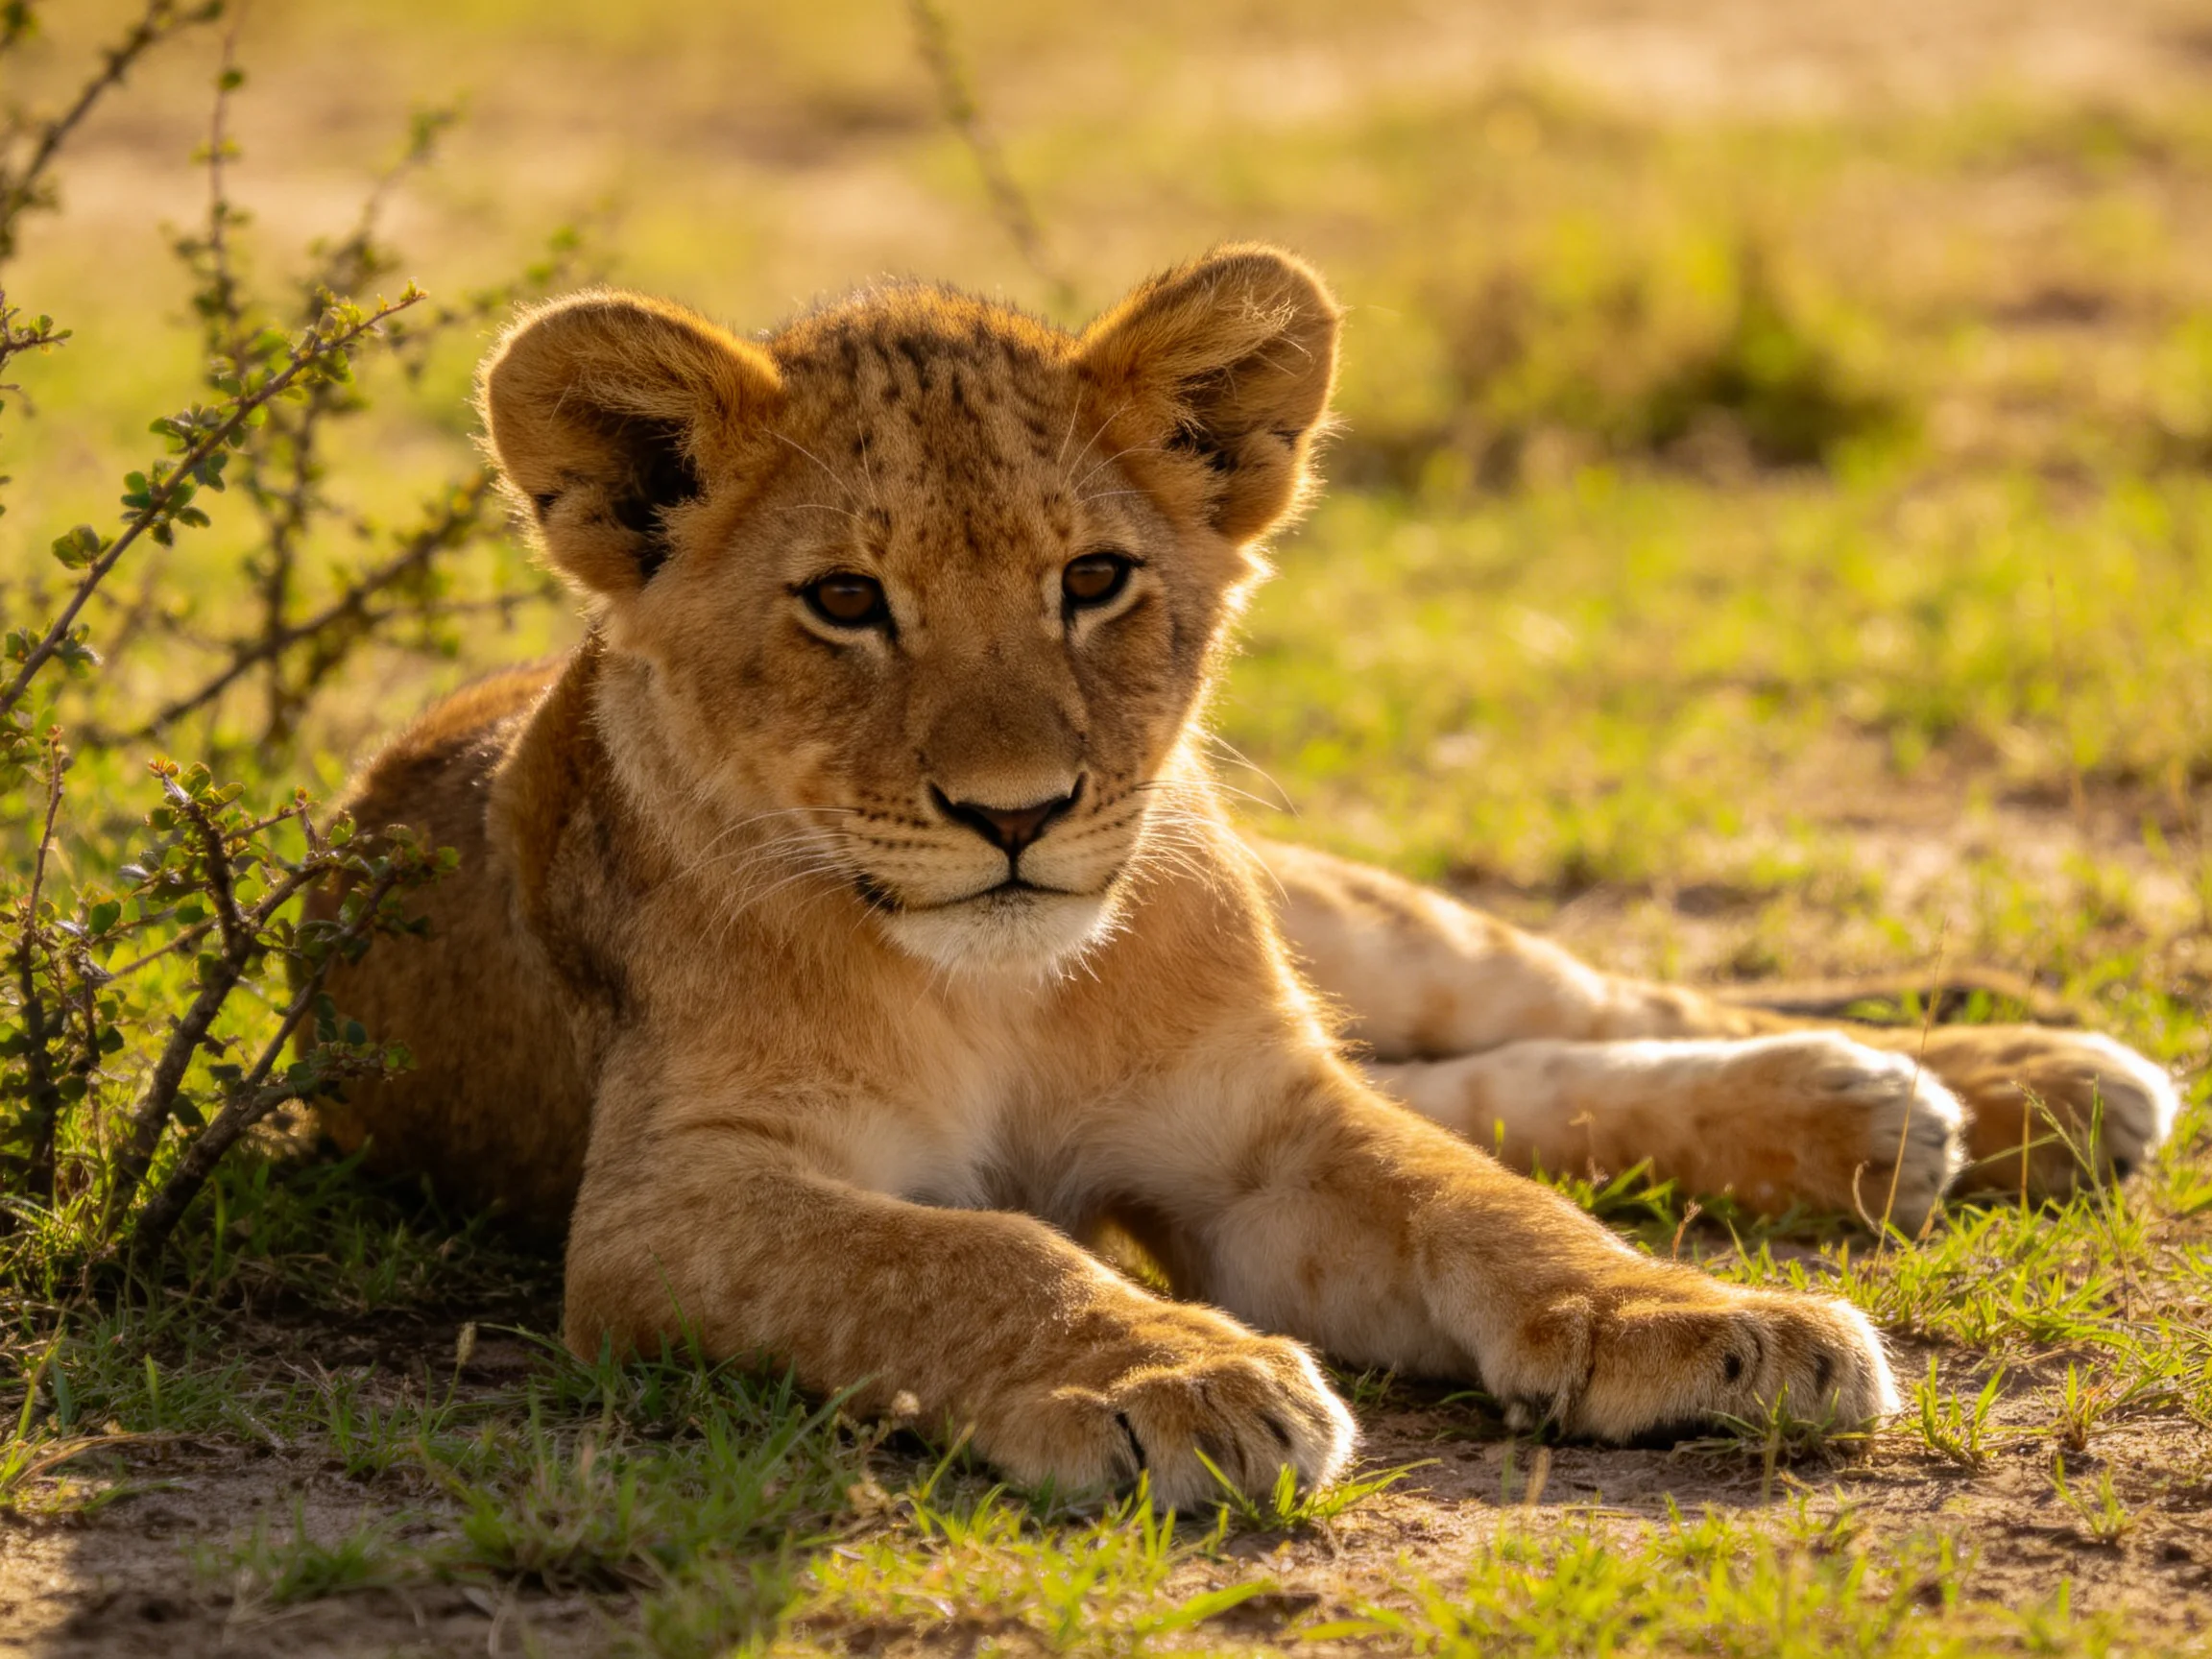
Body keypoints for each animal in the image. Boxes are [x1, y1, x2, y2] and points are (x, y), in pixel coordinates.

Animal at [318, 246, 2178, 1505]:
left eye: (1093, 579)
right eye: (846, 601)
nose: (1016, 813)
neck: (1001, 989)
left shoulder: (1257, 1127)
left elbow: (1479, 1203)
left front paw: (1695, 1315)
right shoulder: (666, 1205)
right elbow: (964, 1254)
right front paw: (1176, 1371)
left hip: (1369, 927)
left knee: (1574, 1014)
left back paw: (2016, 1083)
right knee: (1491, 1077)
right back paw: (1884, 1118)